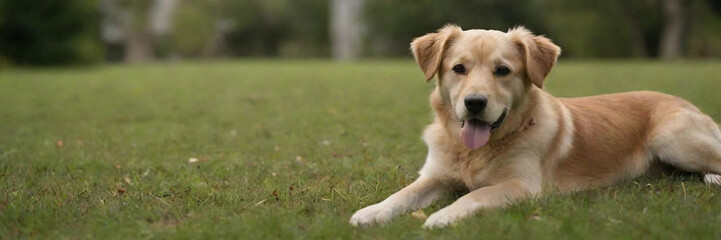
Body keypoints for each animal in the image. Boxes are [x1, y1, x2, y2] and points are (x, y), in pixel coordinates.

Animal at [348, 24, 720, 229]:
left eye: (502, 70)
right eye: (458, 68)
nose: (475, 103)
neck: (477, 151)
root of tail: (686, 102)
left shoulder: (522, 187)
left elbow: (476, 194)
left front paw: (442, 217)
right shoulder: (434, 175)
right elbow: (402, 194)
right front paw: (371, 212)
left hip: (672, 138)